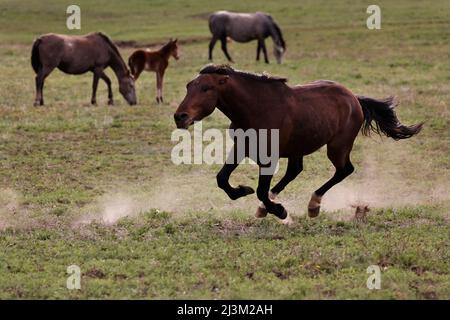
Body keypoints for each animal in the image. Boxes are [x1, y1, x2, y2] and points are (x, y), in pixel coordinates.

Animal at [174, 64, 424, 221]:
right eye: (188, 86)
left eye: (206, 88)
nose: (180, 116)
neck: (256, 108)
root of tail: (355, 98)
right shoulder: (242, 147)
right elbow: (223, 179)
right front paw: (243, 191)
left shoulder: (269, 158)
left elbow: (260, 190)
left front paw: (280, 212)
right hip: (299, 147)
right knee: (295, 170)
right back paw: (270, 208)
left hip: (337, 146)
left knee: (344, 170)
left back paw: (313, 205)